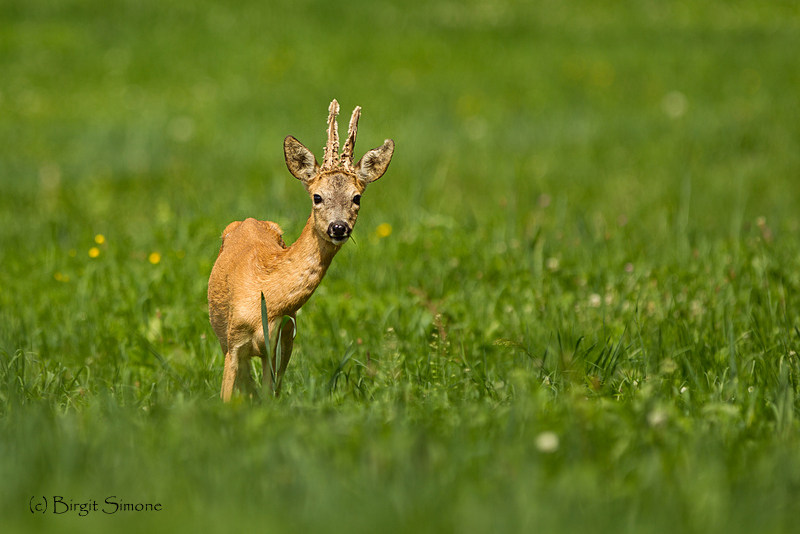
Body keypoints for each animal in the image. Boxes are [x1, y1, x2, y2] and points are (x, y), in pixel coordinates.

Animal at [206, 100, 394, 402]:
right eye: (317, 196)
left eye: (357, 198)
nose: (338, 227)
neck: (264, 296)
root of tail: (247, 221)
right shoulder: (233, 343)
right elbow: (227, 396)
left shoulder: (278, 342)